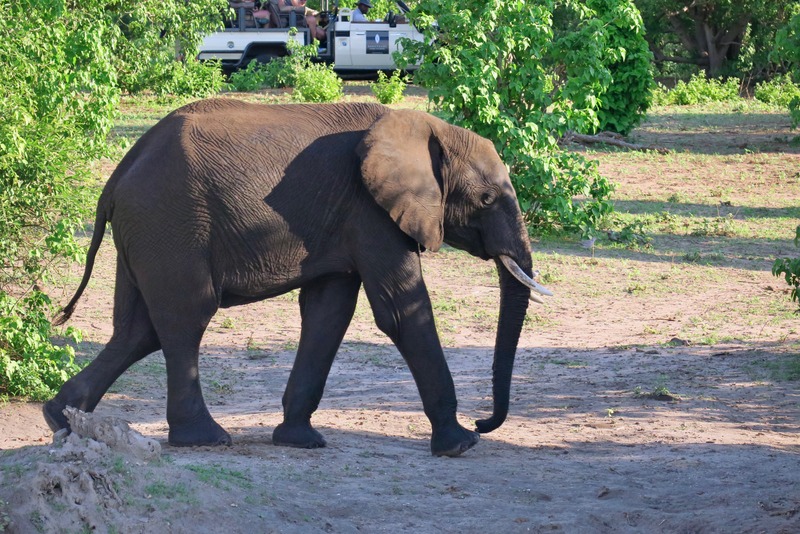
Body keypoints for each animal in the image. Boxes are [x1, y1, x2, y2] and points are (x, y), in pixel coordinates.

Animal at [44, 99, 551, 457]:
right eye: (486, 199)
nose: (485, 422)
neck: (426, 127)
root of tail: (117, 175)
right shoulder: (371, 212)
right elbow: (400, 310)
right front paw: (460, 444)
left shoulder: (345, 221)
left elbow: (329, 313)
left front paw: (299, 440)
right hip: (170, 223)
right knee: (186, 318)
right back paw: (205, 439)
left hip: (143, 231)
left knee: (137, 331)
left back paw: (61, 420)